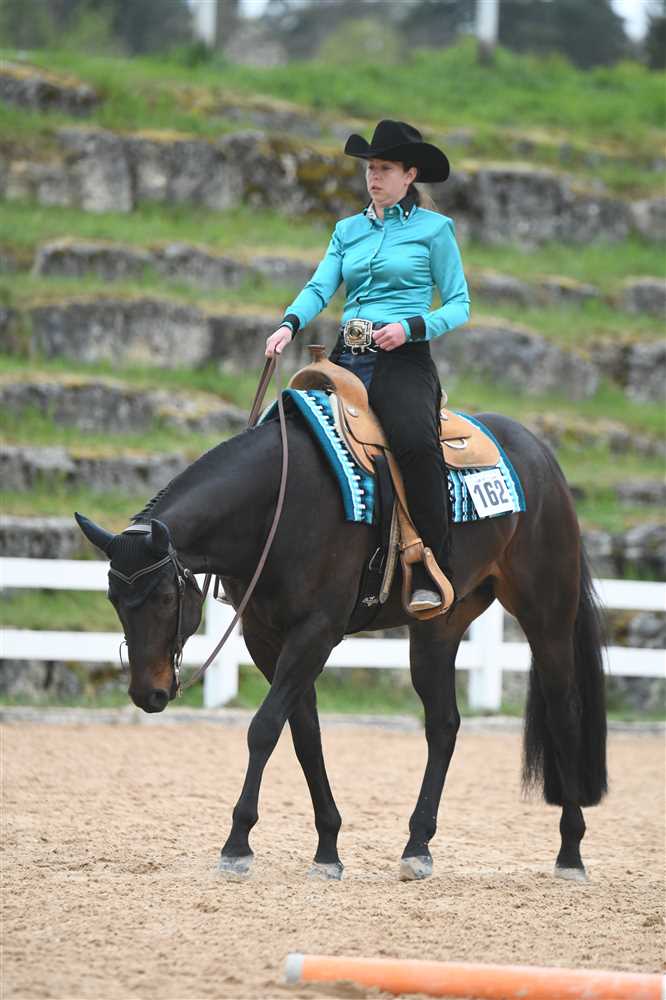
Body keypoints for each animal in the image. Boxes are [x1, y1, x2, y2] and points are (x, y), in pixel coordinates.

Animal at [75, 403, 607, 884]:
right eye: (114, 598)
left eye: (165, 596)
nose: (148, 693)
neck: (278, 506)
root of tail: (540, 453)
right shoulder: (267, 639)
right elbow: (305, 736)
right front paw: (327, 849)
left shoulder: (316, 632)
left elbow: (264, 728)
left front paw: (237, 845)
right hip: (437, 629)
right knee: (443, 725)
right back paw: (417, 846)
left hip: (547, 614)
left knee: (564, 712)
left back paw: (571, 852)